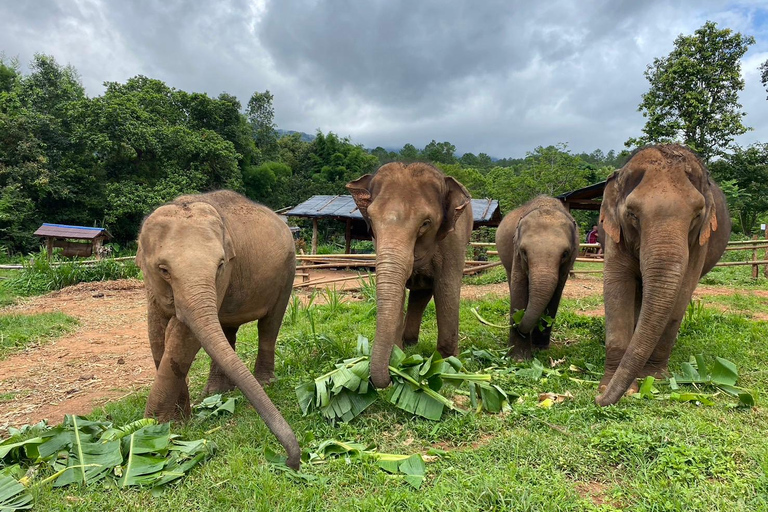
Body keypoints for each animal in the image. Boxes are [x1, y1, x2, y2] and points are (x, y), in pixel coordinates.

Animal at [136, 189, 298, 468]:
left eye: (220, 265)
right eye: (163, 270)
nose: (290, 461)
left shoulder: (226, 275)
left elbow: (183, 337)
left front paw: (156, 428)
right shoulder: (151, 284)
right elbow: (156, 333)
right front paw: (171, 423)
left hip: (287, 271)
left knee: (270, 324)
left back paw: (264, 382)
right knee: (227, 329)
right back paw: (216, 392)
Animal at [346, 163, 472, 388]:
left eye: (425, 223)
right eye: (372, 220)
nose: (389, 379)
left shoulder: (454, 240)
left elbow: (446, 289)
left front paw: (449, 367)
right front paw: (399, 358)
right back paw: (410, 343)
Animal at [498, 196, 576, 360]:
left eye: (565, 254)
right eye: (524, 252)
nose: (516, 323)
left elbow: (556, 291)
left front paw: (540, 348)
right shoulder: (516, 252)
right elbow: (519, 284)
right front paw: (518, 358)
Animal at [592, 143, 732, 404]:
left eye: (697, 215)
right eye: (632, 214)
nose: (597, 401)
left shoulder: (700, 241)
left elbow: (683, 291)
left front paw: (653, 377)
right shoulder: (615, 234)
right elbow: (617, 286)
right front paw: (609, 385)